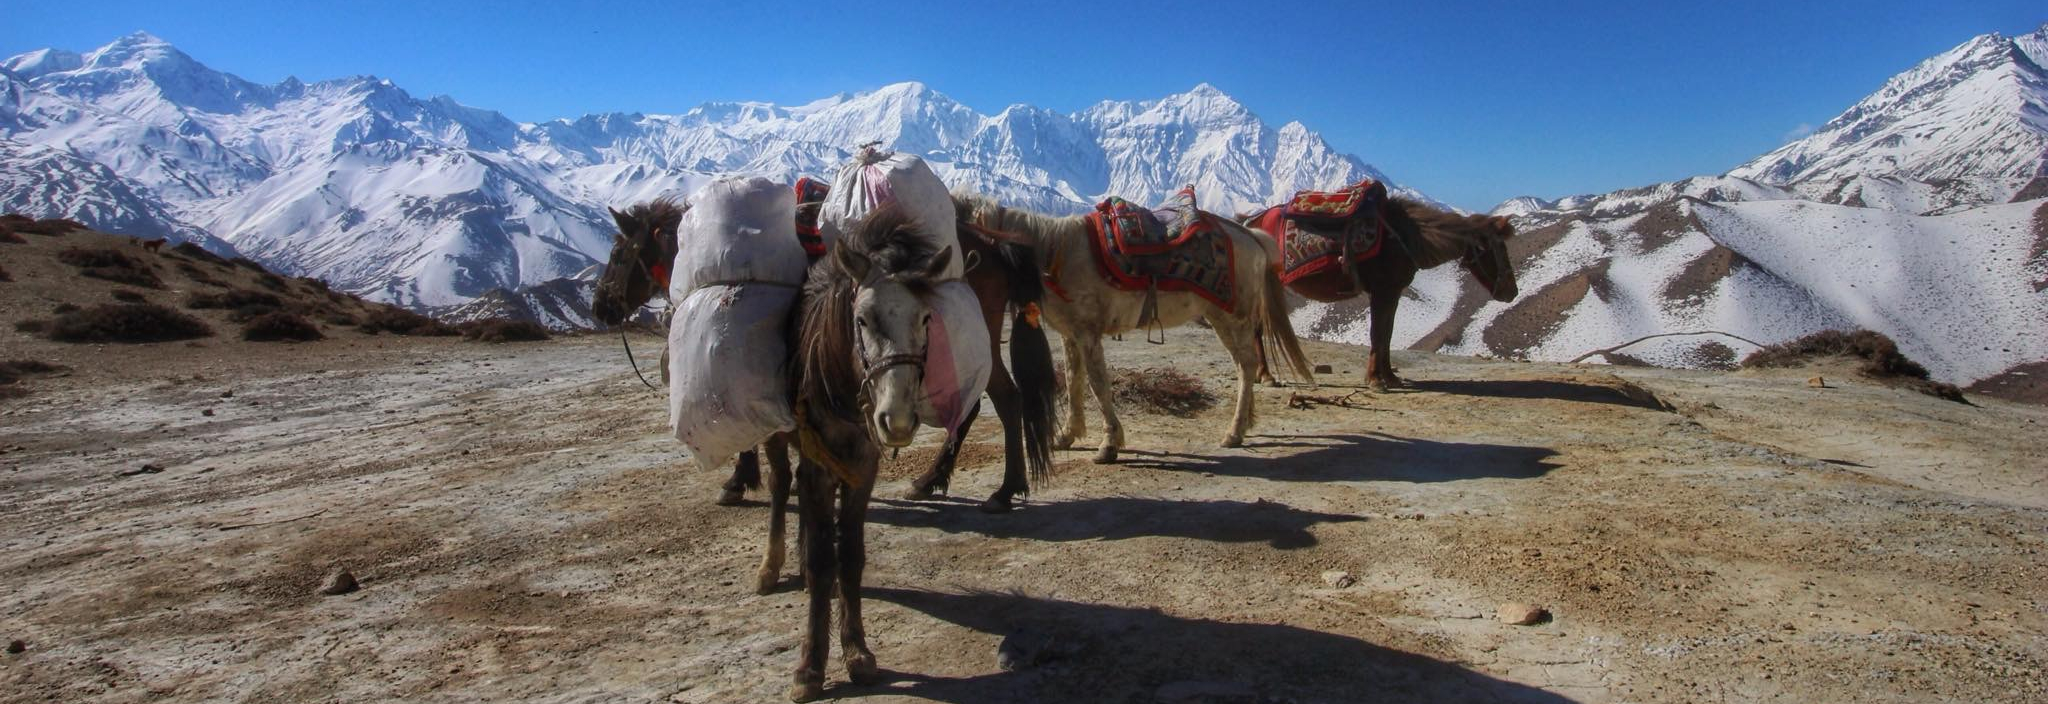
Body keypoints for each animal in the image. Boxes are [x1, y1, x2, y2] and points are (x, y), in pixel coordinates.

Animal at [592, 195, 1058, 514]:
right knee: (982, 404)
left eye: (617, 253)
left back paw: (996, 490)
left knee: (1004, 400)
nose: (600, 307)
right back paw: (938, 482)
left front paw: (738, 481)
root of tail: (993, 244)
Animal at [954, 192, 1317, 464]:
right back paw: (1245, 425)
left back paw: (1234, 431)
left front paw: (1109, 445)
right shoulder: (1071, 335)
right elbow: (1073, 382)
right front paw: (1068, 436)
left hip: (1232, 317)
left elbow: (1098, 385)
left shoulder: (1088, 334)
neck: (1054, 252)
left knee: (1246, 365)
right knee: (1243, 365)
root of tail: (1253, 238)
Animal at [1241, 197, 1520, 389]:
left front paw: (1390, 377)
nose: (1512, 291)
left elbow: (1387, 334)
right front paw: (1375, 380)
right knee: (1256, 328)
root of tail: (1249, 224)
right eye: (1498, 249)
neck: (1404, 236)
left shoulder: (1393, 293)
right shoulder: (1382, 292)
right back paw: (1265, 376)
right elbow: (1377, 333)